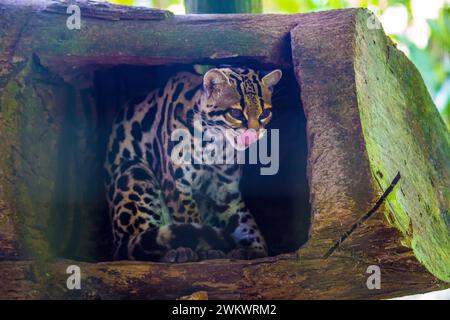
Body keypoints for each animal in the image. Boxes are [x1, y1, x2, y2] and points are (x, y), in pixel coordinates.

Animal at [105, 67, 282, 262]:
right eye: (235, 113)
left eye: (265, 113)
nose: (255, 133)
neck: (216, 145)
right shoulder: (176, 184)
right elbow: (190, 219)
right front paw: (202, 249)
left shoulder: (226, 191)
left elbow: (244, 222)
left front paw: (254, 250)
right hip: (133, 169)